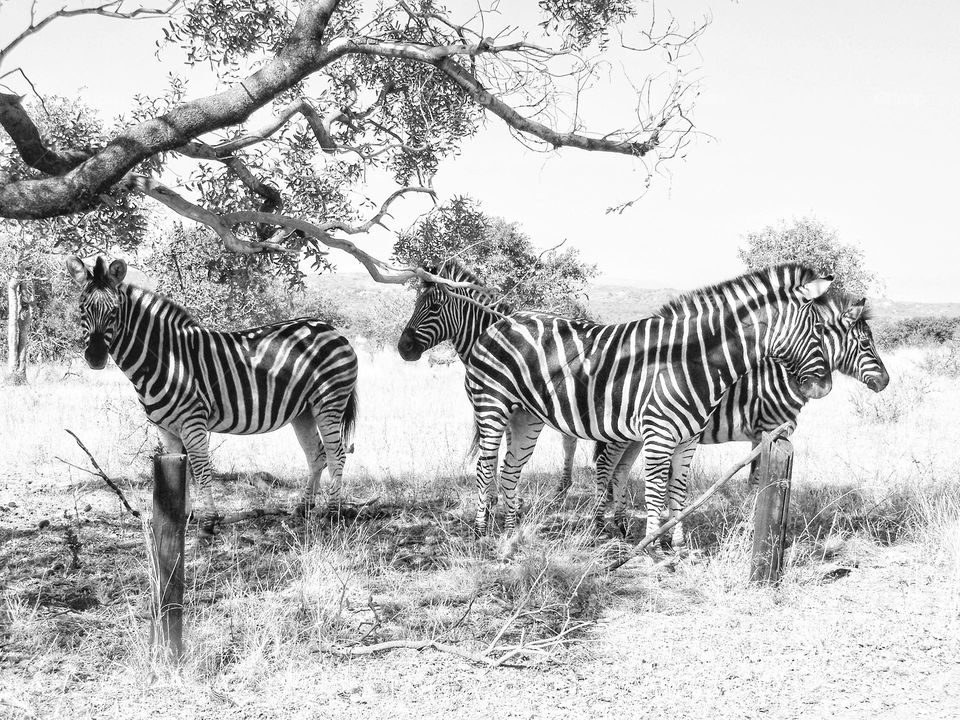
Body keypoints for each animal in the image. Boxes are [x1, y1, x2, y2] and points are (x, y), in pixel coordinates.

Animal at [66, 255, 358, 534]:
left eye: (114, 312)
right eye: (81, 308)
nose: (95, 358)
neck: (166, 358)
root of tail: (331, 328)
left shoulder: (193, 422)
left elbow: (201, 470)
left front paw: (208, 523)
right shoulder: (166, 429)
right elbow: (180, 473)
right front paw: (183, 517)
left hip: (329, 401)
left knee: (337, 454)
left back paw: (333, 513)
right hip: (303, 410)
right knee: (317, 456)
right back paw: (304, 508)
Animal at [464, 263, 835, 537]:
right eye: (818, 329)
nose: (824, 388)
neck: (692, 360)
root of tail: (503, 321)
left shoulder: (688, 440)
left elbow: (679, 490)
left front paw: (677, 545)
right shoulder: (659, 435)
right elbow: (655, 491)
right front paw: (652, 547)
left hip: (525, 416)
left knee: (510, 469)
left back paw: (511, 531)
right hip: (492, 406)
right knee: (485, 467)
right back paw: (482, 532)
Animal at [588, 291, 889, 546]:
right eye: (865, 343)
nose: (885, 381)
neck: (780, 375)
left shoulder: (763, 435)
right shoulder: (766, 429)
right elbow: (756, 481)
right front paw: (749, 526)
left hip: (639, 432)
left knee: (621, 469)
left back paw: (622, 526)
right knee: (606, 464)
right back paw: (600, 526)